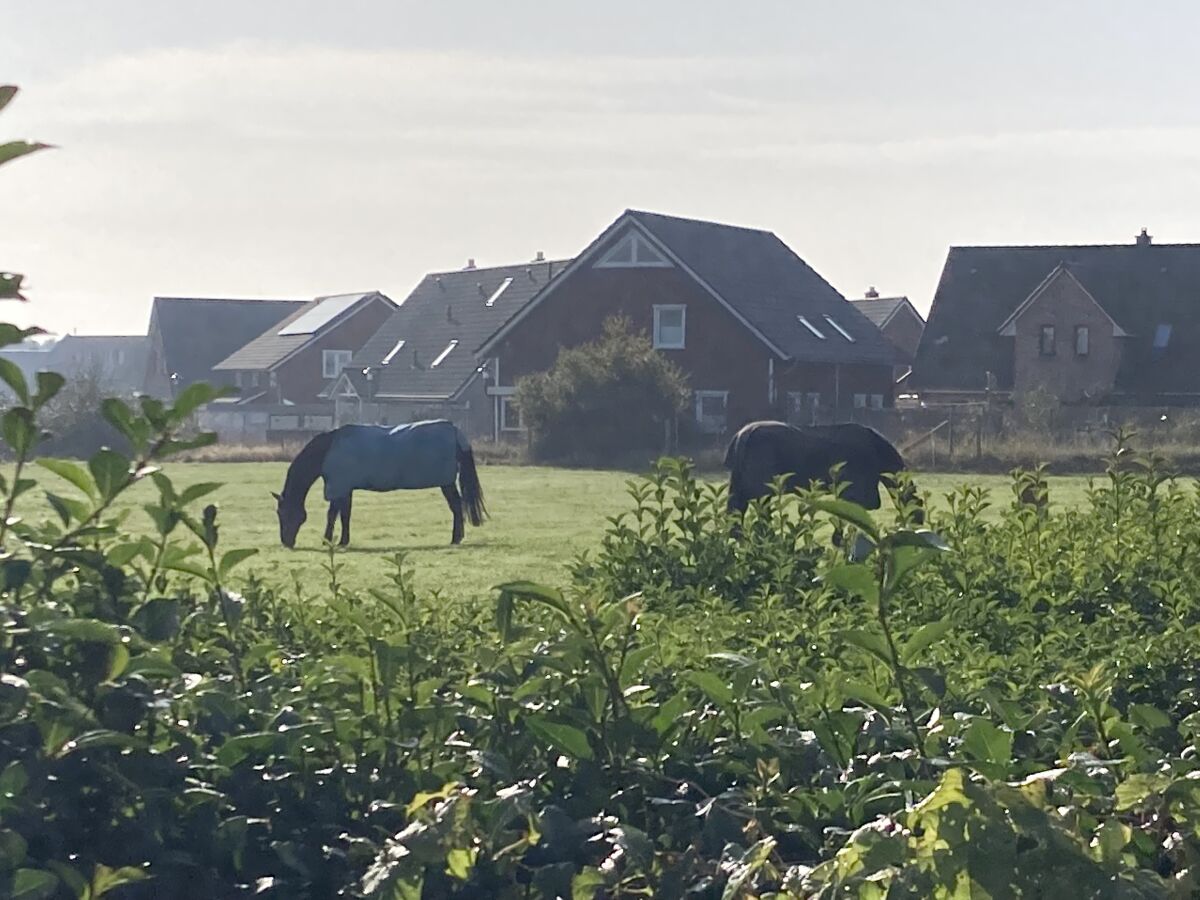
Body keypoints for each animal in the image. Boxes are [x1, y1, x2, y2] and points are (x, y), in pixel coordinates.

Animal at [272, 422, 487, 549]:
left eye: (282, 513)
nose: (286, 542)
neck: (327, 450)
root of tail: (455, 432)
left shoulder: (339, 487)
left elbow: (333, 515)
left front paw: (329, 541)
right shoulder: (345, 488)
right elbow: (344, 515)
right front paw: (342, 540)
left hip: (446, 483)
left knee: (457, 506)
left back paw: (455, 538)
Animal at [720, 422, 916, 528]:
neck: (878, 452)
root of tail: (741, 438)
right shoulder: (855, 491)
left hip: (738, 487)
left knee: (734, 518)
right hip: (762, 491)